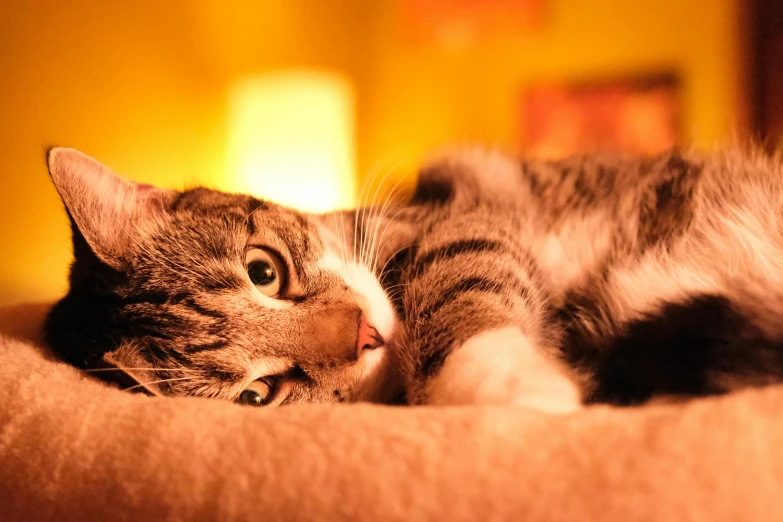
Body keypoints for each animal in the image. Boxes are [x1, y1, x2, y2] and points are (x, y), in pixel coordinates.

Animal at [44, 145, 783, 410]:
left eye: (264, 271)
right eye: (259, 395)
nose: (362, 335)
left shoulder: (460, 217)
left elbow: (459, 280)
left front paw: (507, 384)